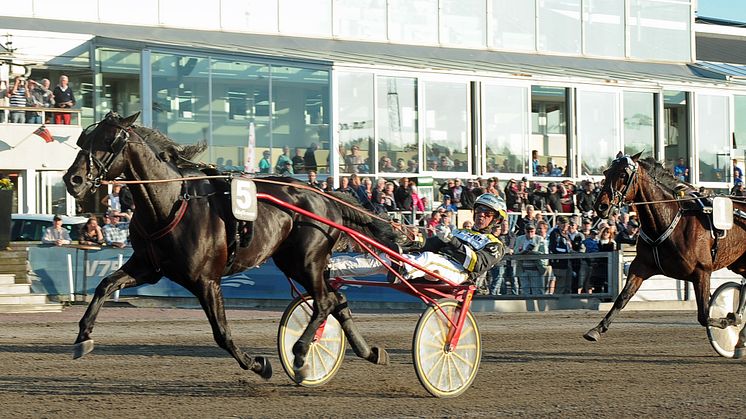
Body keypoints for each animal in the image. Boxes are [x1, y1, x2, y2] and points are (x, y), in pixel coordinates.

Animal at [61, 113, 404, 382]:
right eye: (84, 140)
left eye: (110, 142)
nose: (72, 179)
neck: (171, 202)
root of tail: (324, 195)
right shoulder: (149, 267)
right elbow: (105, 285)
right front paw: (82, 337)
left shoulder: (206, 280)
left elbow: (222, 333)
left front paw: (259, 364)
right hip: (298, 262)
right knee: (338, 299)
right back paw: (370, 352)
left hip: (306, 260)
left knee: (324, 302)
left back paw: (300, 354)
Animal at [580, 152, 744, 348]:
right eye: (605, 173)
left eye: (623, 175)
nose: (601, 206)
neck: (668, 221)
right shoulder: (641, 266)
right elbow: (622, 297)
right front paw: (596, 329)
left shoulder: (702, 271)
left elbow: (705, 314)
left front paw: (731, 319)